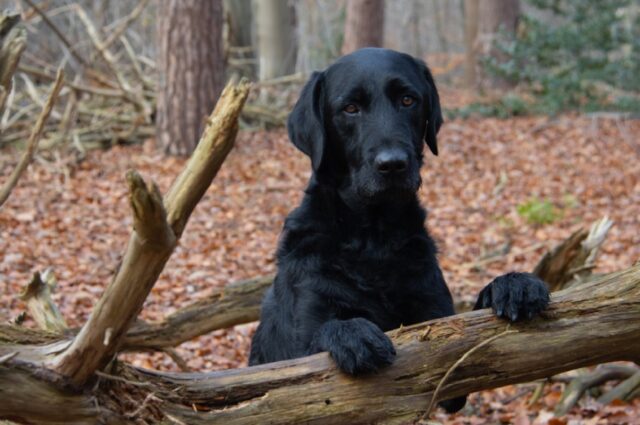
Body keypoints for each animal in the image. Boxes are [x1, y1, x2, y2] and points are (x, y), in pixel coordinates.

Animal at [250, 48, 552, 412]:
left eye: (408, 100)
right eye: (350, 108)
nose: (392, 164)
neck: (374, 238)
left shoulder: (439, 329)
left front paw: (512, 285)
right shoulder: (298, 350)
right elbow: (319, 340)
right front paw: (351, 333)